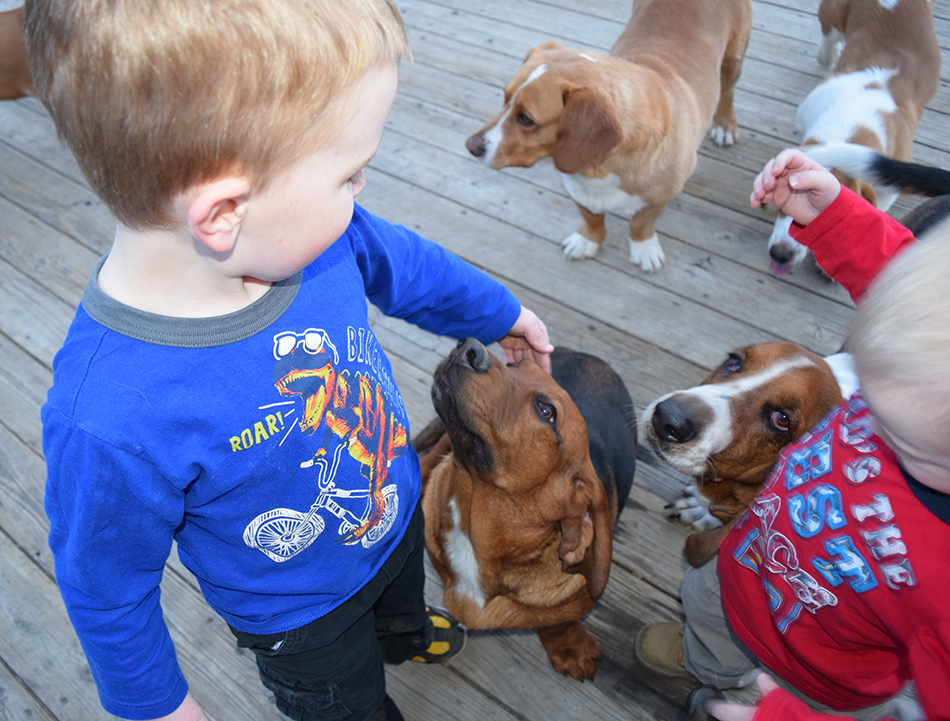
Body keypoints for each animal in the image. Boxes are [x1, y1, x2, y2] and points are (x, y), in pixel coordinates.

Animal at [464, 0, 756, 272]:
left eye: (526, 118)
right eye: (504, 98)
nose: (470, 146)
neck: (597, 168)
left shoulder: (662, 196)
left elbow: (641, 223)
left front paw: (643, 248)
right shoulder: (577, 190)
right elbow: (592, 217)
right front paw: (587, 240)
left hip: (733, 62)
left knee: (727, 91)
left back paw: (725, 125)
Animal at [768, 0, 944, 276]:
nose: (780, 255)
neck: (847, 130)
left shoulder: (887, 190)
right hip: (832, 19)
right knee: (828, 41)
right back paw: (831, 54)